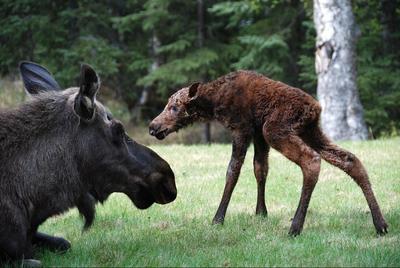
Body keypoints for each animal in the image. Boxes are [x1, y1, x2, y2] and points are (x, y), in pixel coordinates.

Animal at [150, 70, 388, 236]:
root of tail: (316, 108)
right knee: (350, 160)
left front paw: (218, 218)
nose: (153, 127)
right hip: (309, 130)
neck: (214, 103)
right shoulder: (257, 134)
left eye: (174, 107)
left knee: (311, 159)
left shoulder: (242, 129)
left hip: (275, 129)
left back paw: (295, 226)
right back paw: (380, 224)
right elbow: (260, 169)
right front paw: (261, 212)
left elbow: (233, 171)